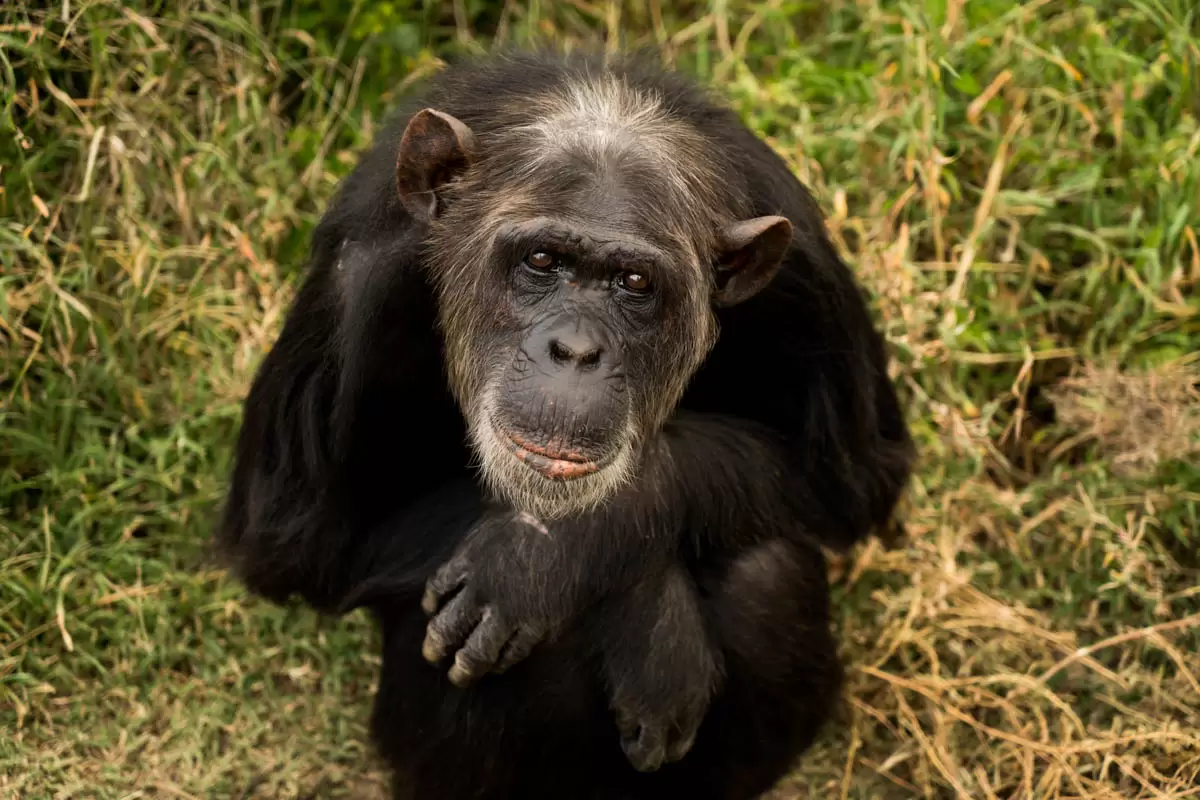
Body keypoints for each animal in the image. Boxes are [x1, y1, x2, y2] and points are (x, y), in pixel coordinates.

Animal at [213, 48, 907, 800]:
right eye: (541, 261)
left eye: (635, 284)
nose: (574, 350)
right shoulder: (355, 285)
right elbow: (300, 540)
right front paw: (639, 613)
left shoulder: (805, 278)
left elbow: (851, 479)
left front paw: (547, 556)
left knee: (768, 572)